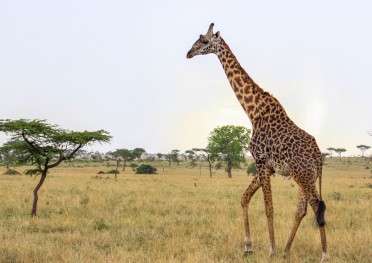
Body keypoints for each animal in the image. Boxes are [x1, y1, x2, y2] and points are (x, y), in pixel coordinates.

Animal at [187, 23, 326, 262]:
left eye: (204, 41)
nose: (189, 53)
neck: (253, 111)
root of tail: (319, 157)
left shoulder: (260, 159)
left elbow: (268, 207)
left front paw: (270, 249)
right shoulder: (268, 167)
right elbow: (244, 198)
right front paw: (248, 246)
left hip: (303, 175)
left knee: (317, 206)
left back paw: (323, 254)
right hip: (305, 176)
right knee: (302, 210)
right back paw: (287, 251)